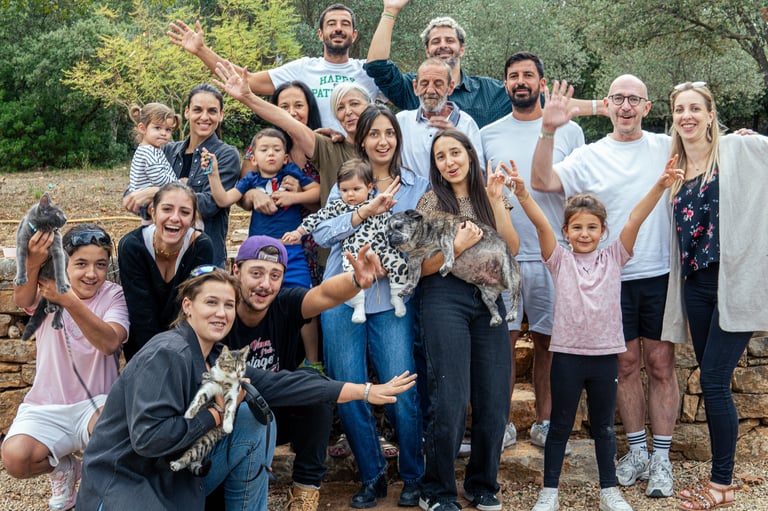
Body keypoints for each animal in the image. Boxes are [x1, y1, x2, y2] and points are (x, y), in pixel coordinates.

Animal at [13, 193, 70, 340]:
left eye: (62, 213)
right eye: (57, 213)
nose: (66, 218)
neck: (42, 229)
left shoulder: (58, 249)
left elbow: (59, 270)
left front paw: (62, 286)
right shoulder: (21, 244)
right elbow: (21, 263)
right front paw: (20, 278)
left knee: (61, 307)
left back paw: (56, 320)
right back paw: (50, 307)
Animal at [170, 345, 249, 476]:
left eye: (242, 368)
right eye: (233, 367)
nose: (238, 375)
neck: (224, 379)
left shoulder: (233, 391)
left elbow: (230, 407)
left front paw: (228, 425)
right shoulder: (209, 385)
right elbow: (199, 398)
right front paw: (189, 413)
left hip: (205, 442)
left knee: (190, 457)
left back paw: (178, 464)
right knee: (188, 456)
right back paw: (176, 464)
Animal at [387, 209, 522, 327]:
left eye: (398, 226)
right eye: (386, 233)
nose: (390, 237)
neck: (422, 236)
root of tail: (501, 285)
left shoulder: (446, 234)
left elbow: (447, 249)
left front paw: (447, 265)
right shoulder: (415, 260)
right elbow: (412, 278)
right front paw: (407, 288)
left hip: (510, 274)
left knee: (515, 297)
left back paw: (512, 314)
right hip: (486, 296)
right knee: (493, 306)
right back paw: (496, 319)